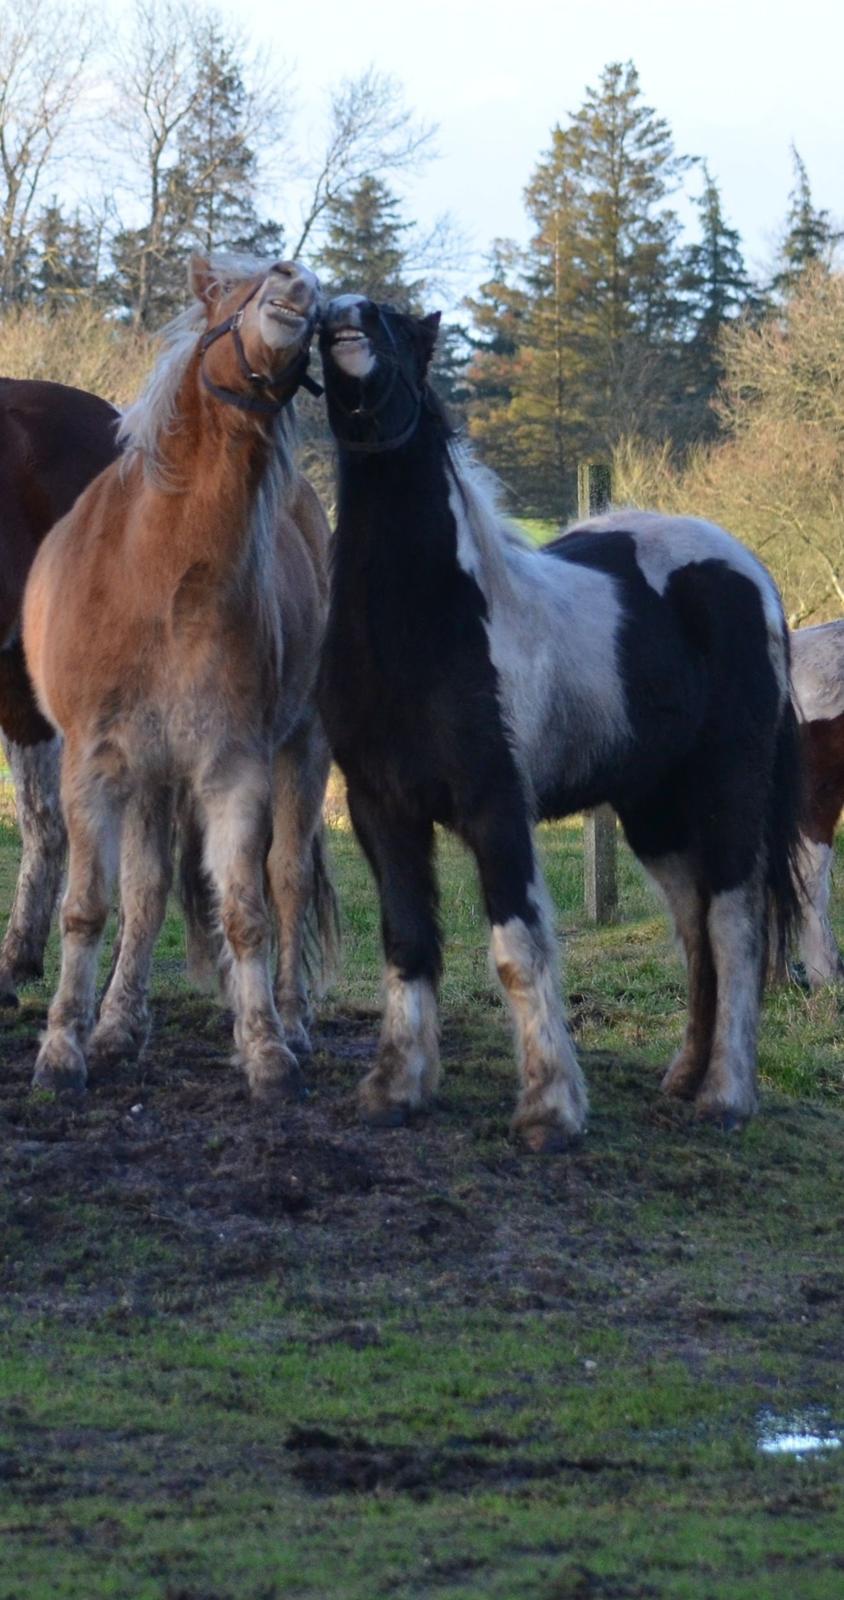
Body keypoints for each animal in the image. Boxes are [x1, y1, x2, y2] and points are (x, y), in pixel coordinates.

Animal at [23, 256, 332, 1100]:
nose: (296, 281)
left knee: (287, 880)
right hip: (154, 777)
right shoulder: (95, 764)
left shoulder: (234, 769)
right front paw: (64, 1048)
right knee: (148, 891)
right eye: (226, 292)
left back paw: (291, 1018)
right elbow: (92, 907)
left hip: (302, 750)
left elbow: (246, 911)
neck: (162, 575)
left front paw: (265, 1050)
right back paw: (118, 1025)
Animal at [318, 297, 805, 1152]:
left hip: (729, 792)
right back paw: (684, 1078)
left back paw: (725, 1098)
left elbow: (518, 949)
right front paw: (395, 1089)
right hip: (655, 812)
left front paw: (549, 1110)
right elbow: (407, 942)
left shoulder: (496, 806)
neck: (426, 622)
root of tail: (751, 573)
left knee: (735, 925)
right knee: (694, 930)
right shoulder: (383, 808)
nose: (343, 315)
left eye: (393, 323)